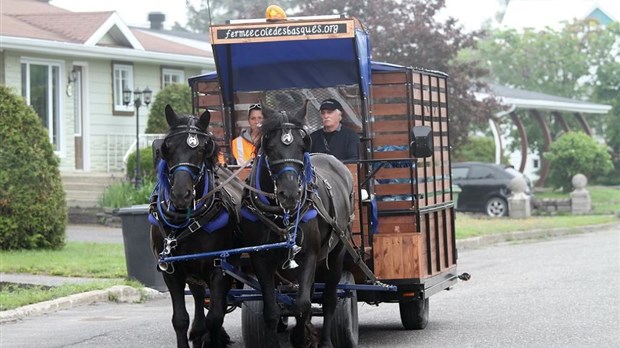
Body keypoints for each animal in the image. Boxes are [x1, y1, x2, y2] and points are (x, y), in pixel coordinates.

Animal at [149, 105, 241, 348]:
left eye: (201, 150)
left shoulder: (219, 270)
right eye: (168, 148)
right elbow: (180, 319)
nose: (181, 195)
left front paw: (213, 338)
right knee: (199, 297)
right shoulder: (172, 271)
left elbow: (216, 317)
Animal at [241, 103, 354, 348]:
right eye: (270, 147)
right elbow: (272, 311)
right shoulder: (260, 258)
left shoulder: (308, 254)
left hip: (337, 252)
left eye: (302, 146)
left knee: (329, 298)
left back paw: (325, 340)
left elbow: (302, 305)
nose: (291, 194)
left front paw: (301, 338)